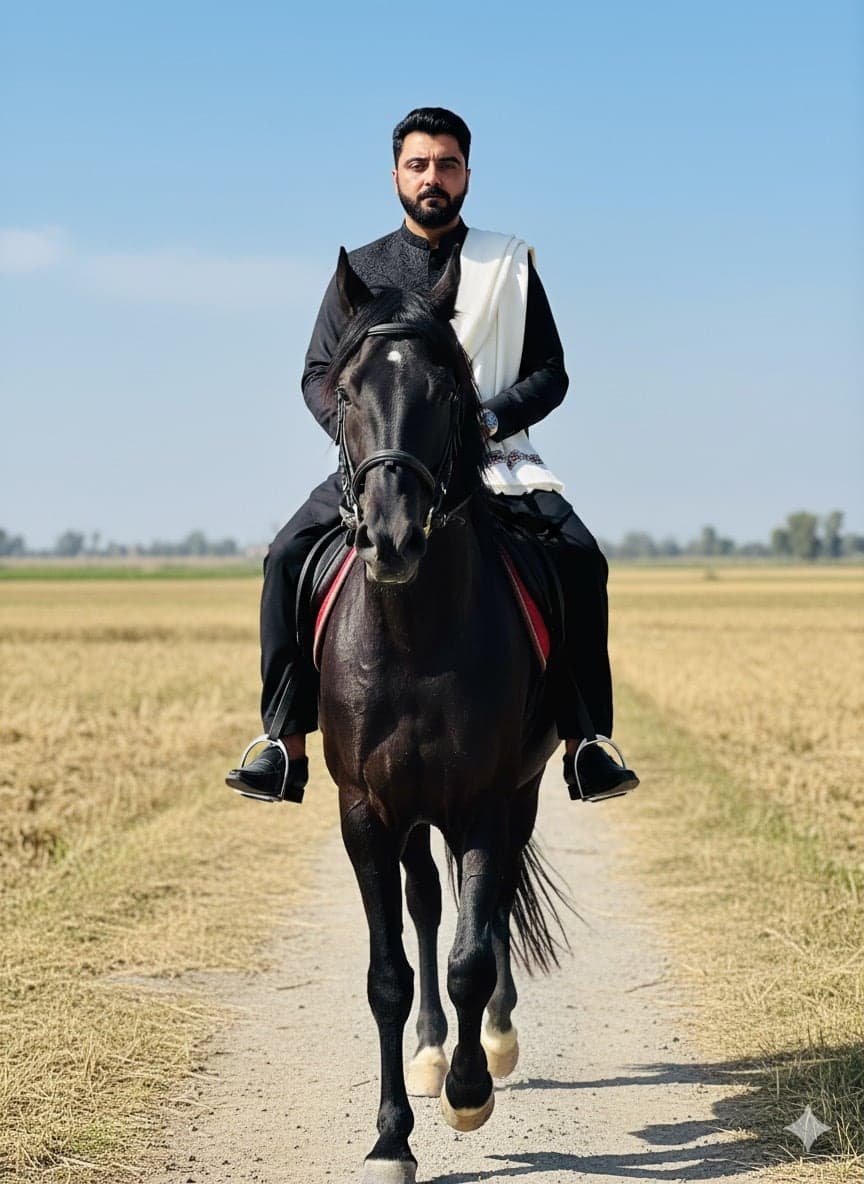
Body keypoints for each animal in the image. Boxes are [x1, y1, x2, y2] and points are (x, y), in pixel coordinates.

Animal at [317, 245, 568, 1184]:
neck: (415, 633)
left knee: (483, 914)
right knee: (427, 904)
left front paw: (469, 1090)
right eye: (346, 391)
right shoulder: (365, 811)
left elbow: (471, 954)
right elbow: (388, 971)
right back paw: (428, 1050)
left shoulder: (487, 802)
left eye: (446, 393)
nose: (392, 539)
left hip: (518, 791)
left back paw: (489, 1041)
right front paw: (393, 1135)